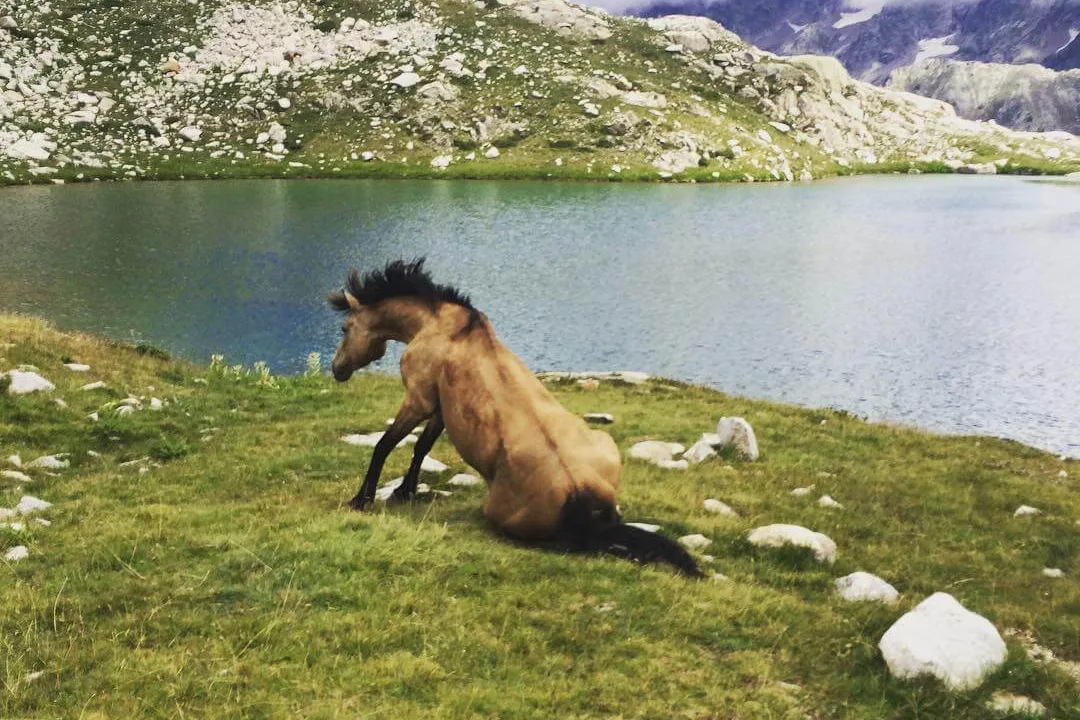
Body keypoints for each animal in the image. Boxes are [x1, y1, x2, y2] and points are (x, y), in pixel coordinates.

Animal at [324, 255, 704, 578]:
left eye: (344, 328)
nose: (337, 369)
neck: (442, 327)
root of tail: (579, 497)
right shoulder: (441, 409)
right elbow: (421, 448)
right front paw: (404, 492)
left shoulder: (418, 400)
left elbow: (385, 445)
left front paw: (362, 499)